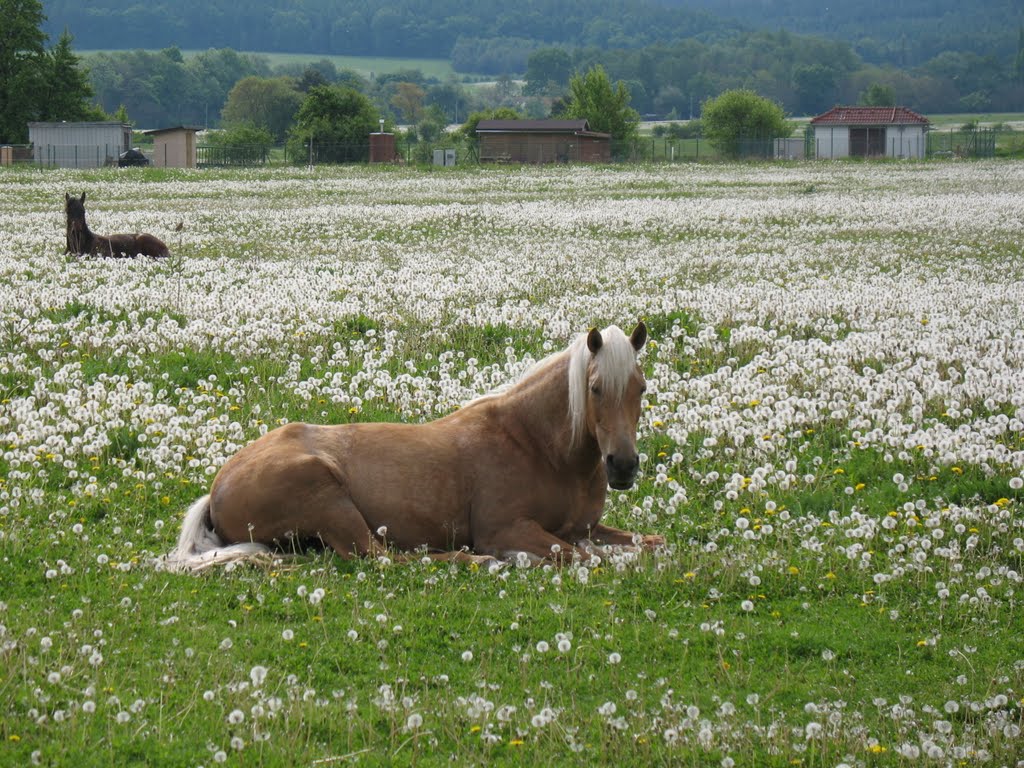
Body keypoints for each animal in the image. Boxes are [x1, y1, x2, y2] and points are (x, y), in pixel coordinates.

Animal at [165, 319, 663, 573]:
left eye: (640, 388)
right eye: (595, 389)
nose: (623, 466)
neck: (536, 447)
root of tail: (217, 488)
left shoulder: (585, 528)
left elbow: (649, 544)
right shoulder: (506, 529)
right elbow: (581, 555)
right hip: (328, 498)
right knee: (382, 557)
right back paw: (472, 559)